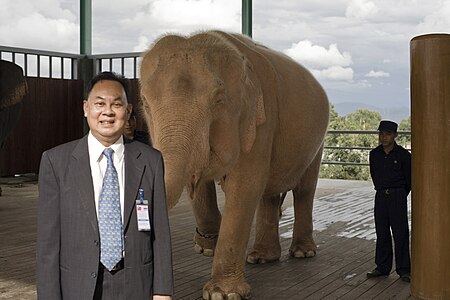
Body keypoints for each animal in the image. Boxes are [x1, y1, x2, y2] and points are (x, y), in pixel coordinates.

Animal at [141, 31, 330, 298]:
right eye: (145, 103)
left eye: (219, 100)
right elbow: (200, 179)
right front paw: (206, 245)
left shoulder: (260, 119)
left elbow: (244, 185)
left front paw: (222, 294)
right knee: (269, 194)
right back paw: (261, 258)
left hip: (317, 142)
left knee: (304, 190)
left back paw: (303, 253)